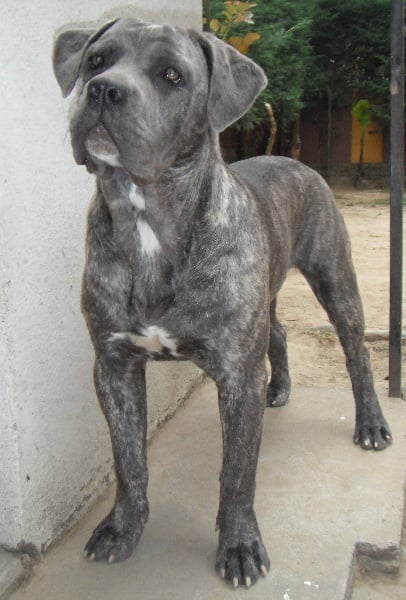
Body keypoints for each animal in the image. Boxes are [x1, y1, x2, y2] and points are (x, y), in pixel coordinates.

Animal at [53, 18, 392, 589]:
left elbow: (237, 471)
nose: (103, 90)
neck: (148, 221)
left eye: (172, 75)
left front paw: (239, 547)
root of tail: (294, 159)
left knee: (357, 354)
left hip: (335, 281)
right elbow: (128, 459)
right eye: (97, 60)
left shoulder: (236, 376)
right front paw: (123, 527)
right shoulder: (115, 365)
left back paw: (370, 425)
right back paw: (278, 387)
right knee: (278, 333)